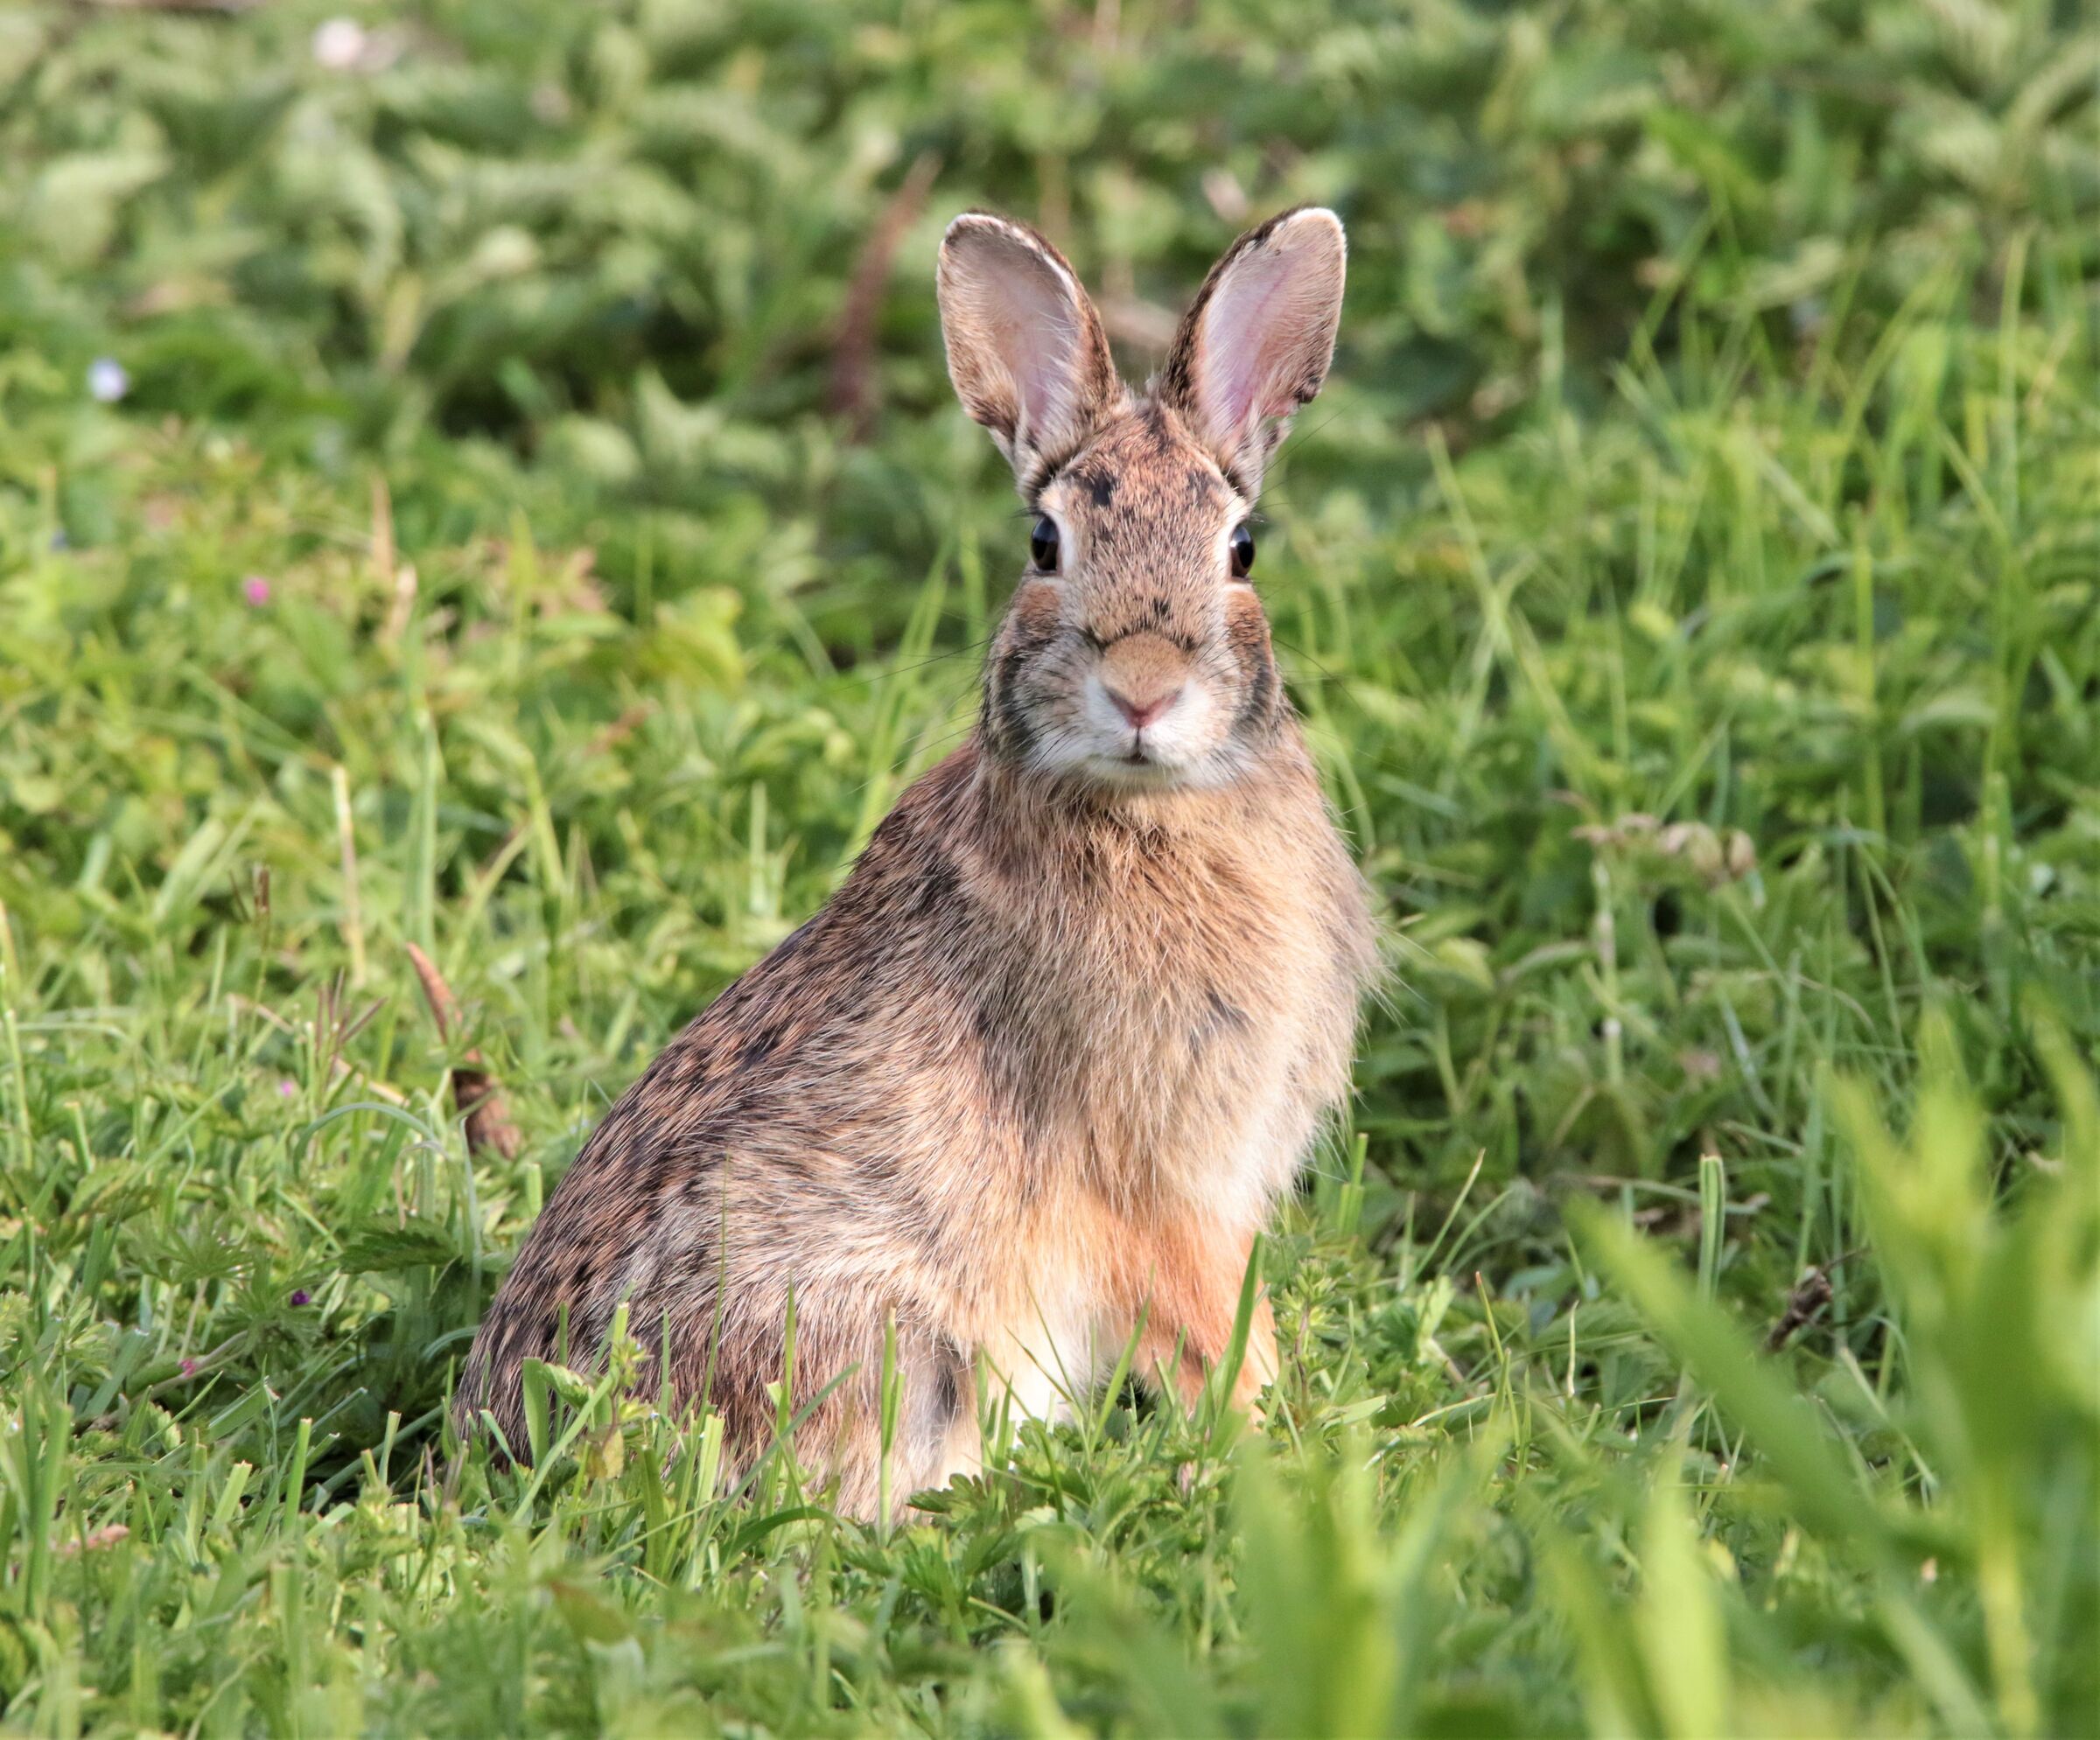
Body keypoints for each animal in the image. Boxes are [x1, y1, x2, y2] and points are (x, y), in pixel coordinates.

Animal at [456, 206, 1378, 1517]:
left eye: (1242, 548)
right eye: (1045, 543)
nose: (1144, 689)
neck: (1152, 811)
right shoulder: (1159, 1186)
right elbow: (1217, 1324)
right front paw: (1273, 1446)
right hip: (888, 1332)